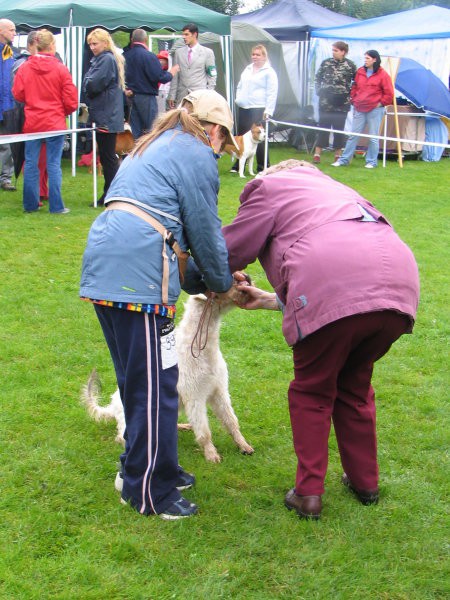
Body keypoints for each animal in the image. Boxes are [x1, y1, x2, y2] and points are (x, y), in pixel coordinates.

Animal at [81, 292, 255, 462]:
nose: (246, 289)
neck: (200, 350)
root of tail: (111, 407)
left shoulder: (219, 391)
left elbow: (231, 421)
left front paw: (244, 446)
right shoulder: (194, 397)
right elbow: (204, 431)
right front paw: (212, 455)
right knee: (122, 437)